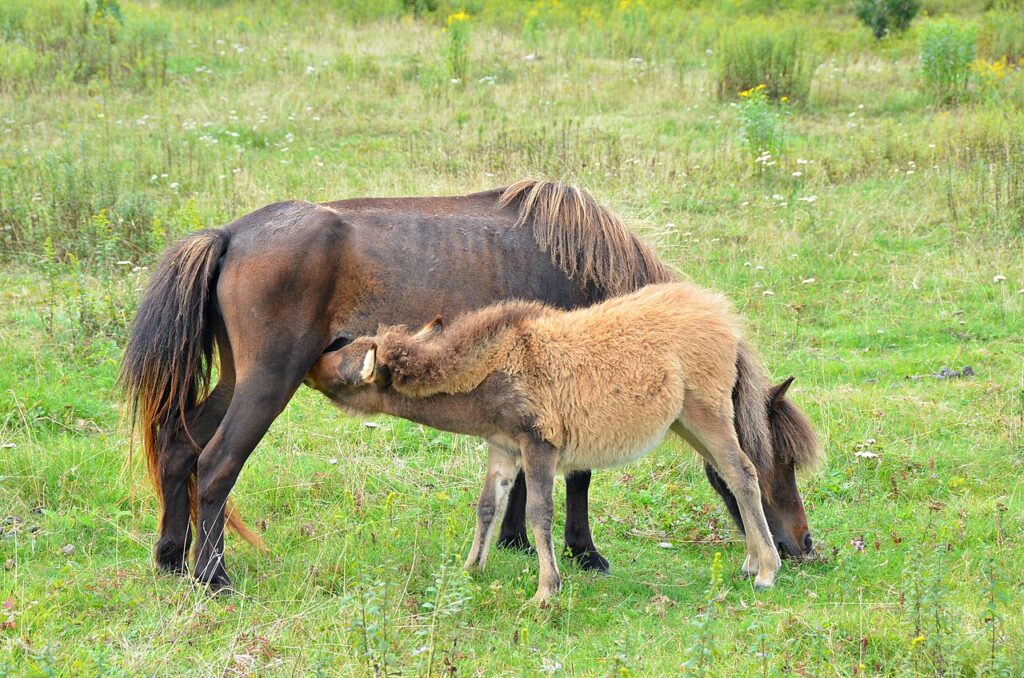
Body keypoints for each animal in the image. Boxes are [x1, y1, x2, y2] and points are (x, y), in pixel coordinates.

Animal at [311, 282, 822, 603]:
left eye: (344, 368)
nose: (314, 359)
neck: (493, 372)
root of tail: (728, 322)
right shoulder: (503, 446)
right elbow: (487, 506)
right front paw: (471, 568)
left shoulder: (540, 445)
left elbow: (539, 512)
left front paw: (546, 589)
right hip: (686, 423)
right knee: (733, 477)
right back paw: (752, 560)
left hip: (708, 413)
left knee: (744, 472)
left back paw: (767, 570)